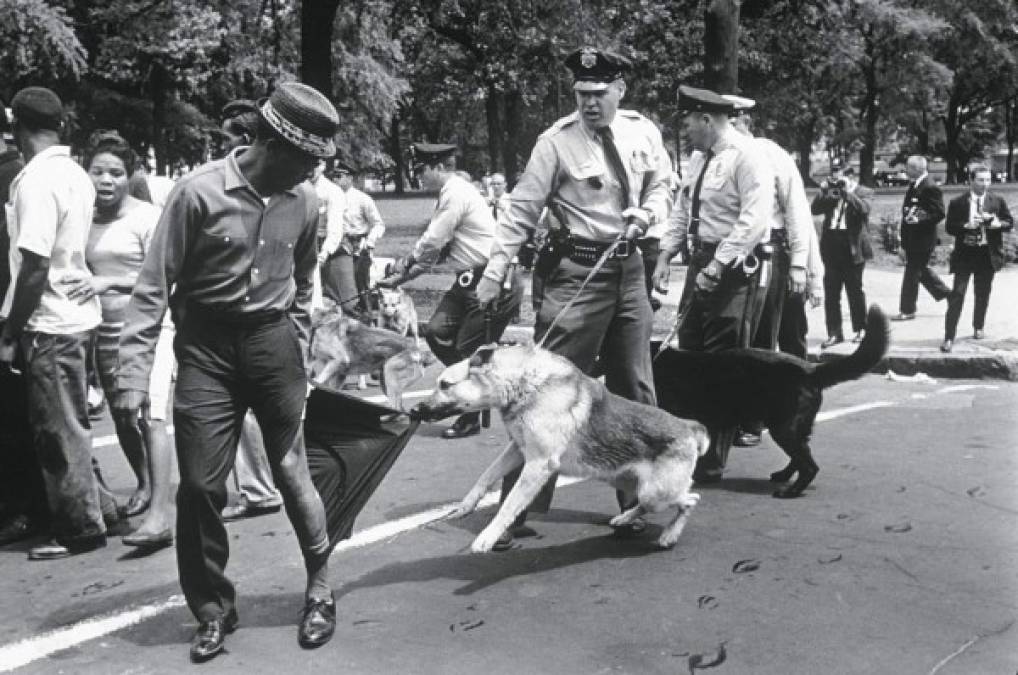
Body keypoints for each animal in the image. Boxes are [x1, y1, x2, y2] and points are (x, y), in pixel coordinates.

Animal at [411, 346, 708, 553]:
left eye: (445, 385)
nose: (415, 410)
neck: (523, 384)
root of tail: (688, 426)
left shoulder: (538, 464)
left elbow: (508, 505)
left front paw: (488, 536)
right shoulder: (518, 449)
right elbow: (486, 476)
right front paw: (466, 505)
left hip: (655, 492)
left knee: (690, 500)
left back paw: (669, 535)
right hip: (628, 482)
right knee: (647, 505)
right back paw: (624, 518)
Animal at [655, 305, 887, 496]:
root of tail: (811, 370)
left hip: (784, 428)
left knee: (810, 466)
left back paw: (791, 491)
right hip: (794, 428)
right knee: (801, 456)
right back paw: (783, 476)